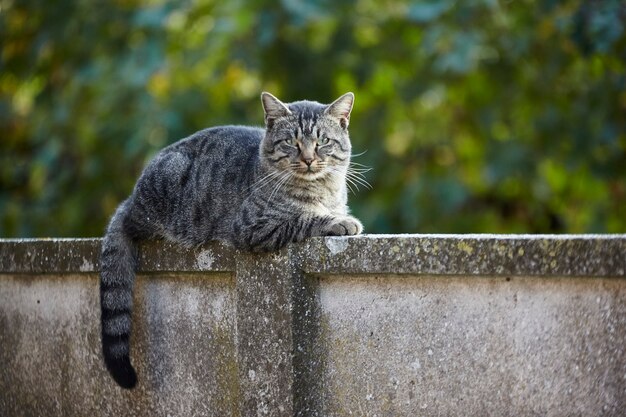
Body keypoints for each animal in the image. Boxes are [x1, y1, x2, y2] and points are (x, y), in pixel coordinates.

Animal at [99, 91, 364, 386]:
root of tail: (130, 199)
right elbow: (306, 218)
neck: (321, 190)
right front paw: (340, 222)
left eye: (323, 141)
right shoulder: (253, 227)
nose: (308, 159)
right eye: (290, 142)